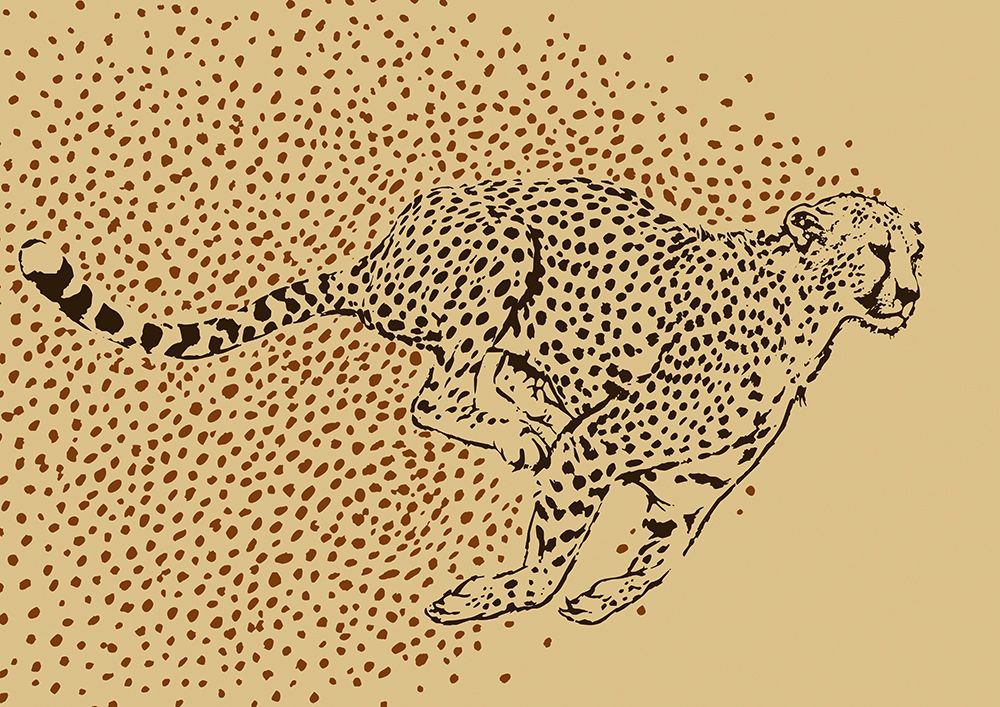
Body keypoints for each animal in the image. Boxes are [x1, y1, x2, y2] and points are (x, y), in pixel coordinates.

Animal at [18, 176, 924, 625]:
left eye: (914, 252)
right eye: (879, 252)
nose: (912, 293)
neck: (806, 323)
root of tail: (378, 256)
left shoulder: (686, 495)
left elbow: (660, 556)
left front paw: (606, 597)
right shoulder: (598, 451)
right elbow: (552, 555)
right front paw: (500, 595)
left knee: (497, 379)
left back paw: (533, 412)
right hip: (503, 246)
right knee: (436, 393)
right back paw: (524, 431)